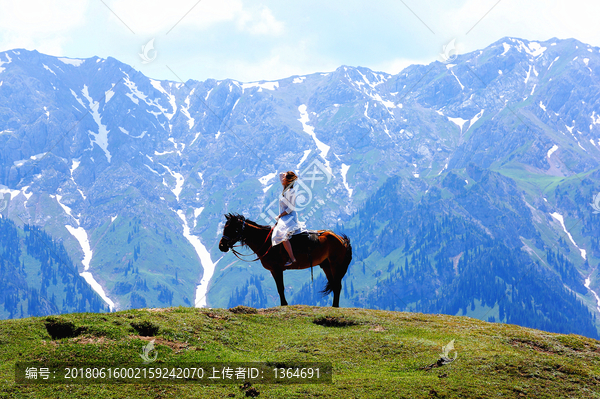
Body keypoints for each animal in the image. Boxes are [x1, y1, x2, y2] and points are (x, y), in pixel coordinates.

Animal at [218, 214, 352, 308]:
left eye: (232, 229)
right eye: (225, 228)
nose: (221, 246)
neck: (267, 243)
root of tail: (341, 239)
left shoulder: (277, 269)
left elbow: (280, 288)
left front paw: (284, 304)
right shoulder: (273, 270)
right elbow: (279, 288)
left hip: (335, 265)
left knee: (337, 285)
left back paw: (335, 306)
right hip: (326, 266)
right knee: (334, 285)